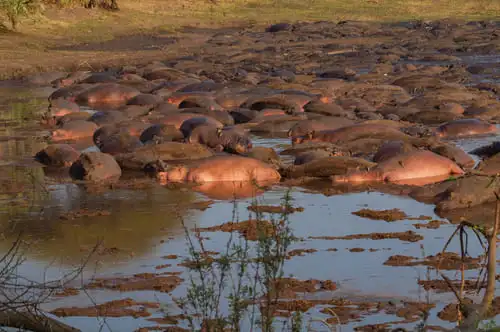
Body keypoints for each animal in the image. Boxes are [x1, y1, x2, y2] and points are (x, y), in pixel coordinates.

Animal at [332, 151, 464, 187]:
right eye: (347, 169)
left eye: (349, 173)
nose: (333, 176)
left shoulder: (392, 174)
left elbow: (390, 177)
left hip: (452, 166)